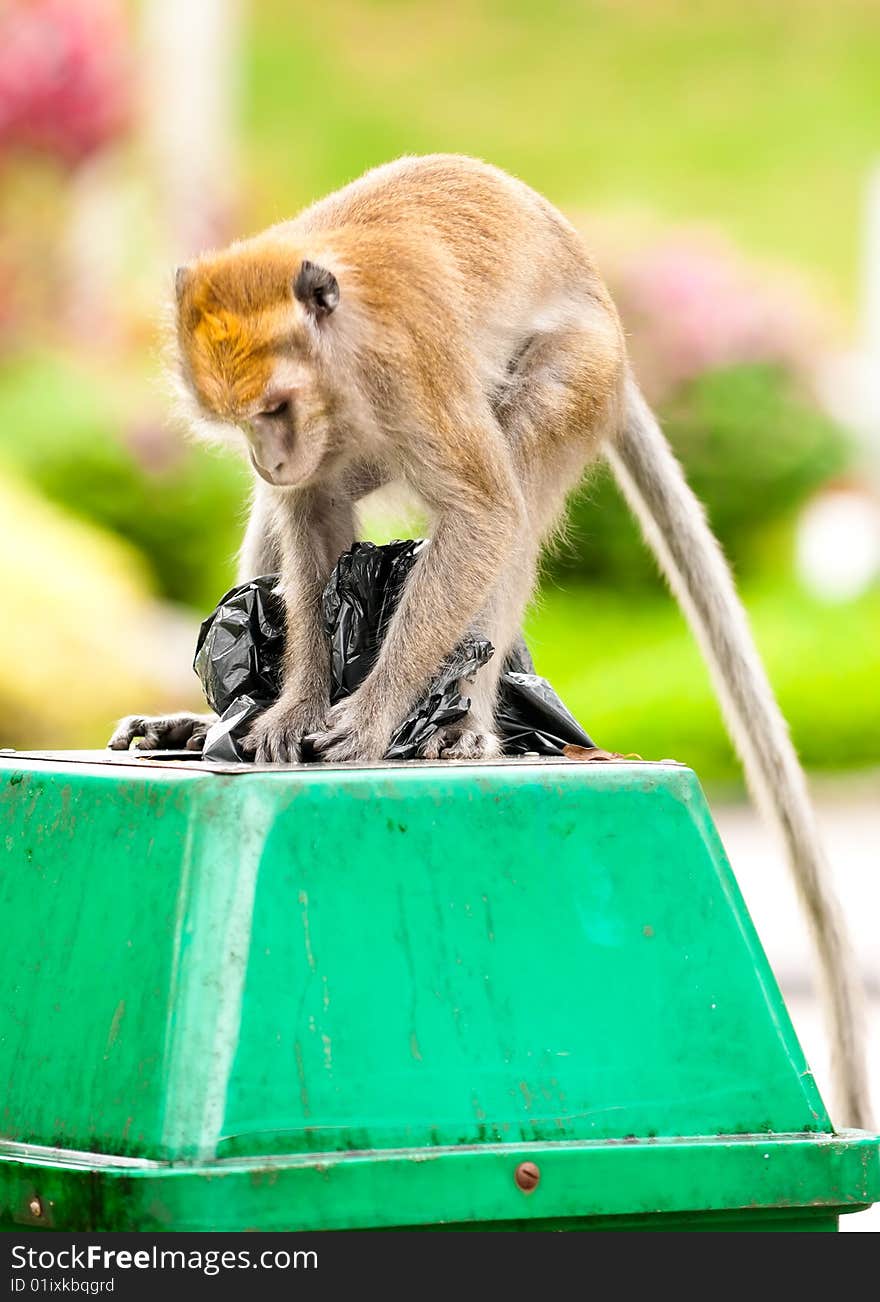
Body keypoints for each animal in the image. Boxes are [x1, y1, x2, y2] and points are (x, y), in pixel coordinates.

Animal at [106, 152, 869, 1130]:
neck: (341, 354)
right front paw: (293, 705)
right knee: (309, 509)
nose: (263, 456)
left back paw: (465, 721)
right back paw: (214, 713)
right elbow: (309, 519)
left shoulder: (405, 369)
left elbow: (483, 513)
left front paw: (372, 716)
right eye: (239, 418)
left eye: (274, 406)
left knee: (519, 457)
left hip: (583, 371)